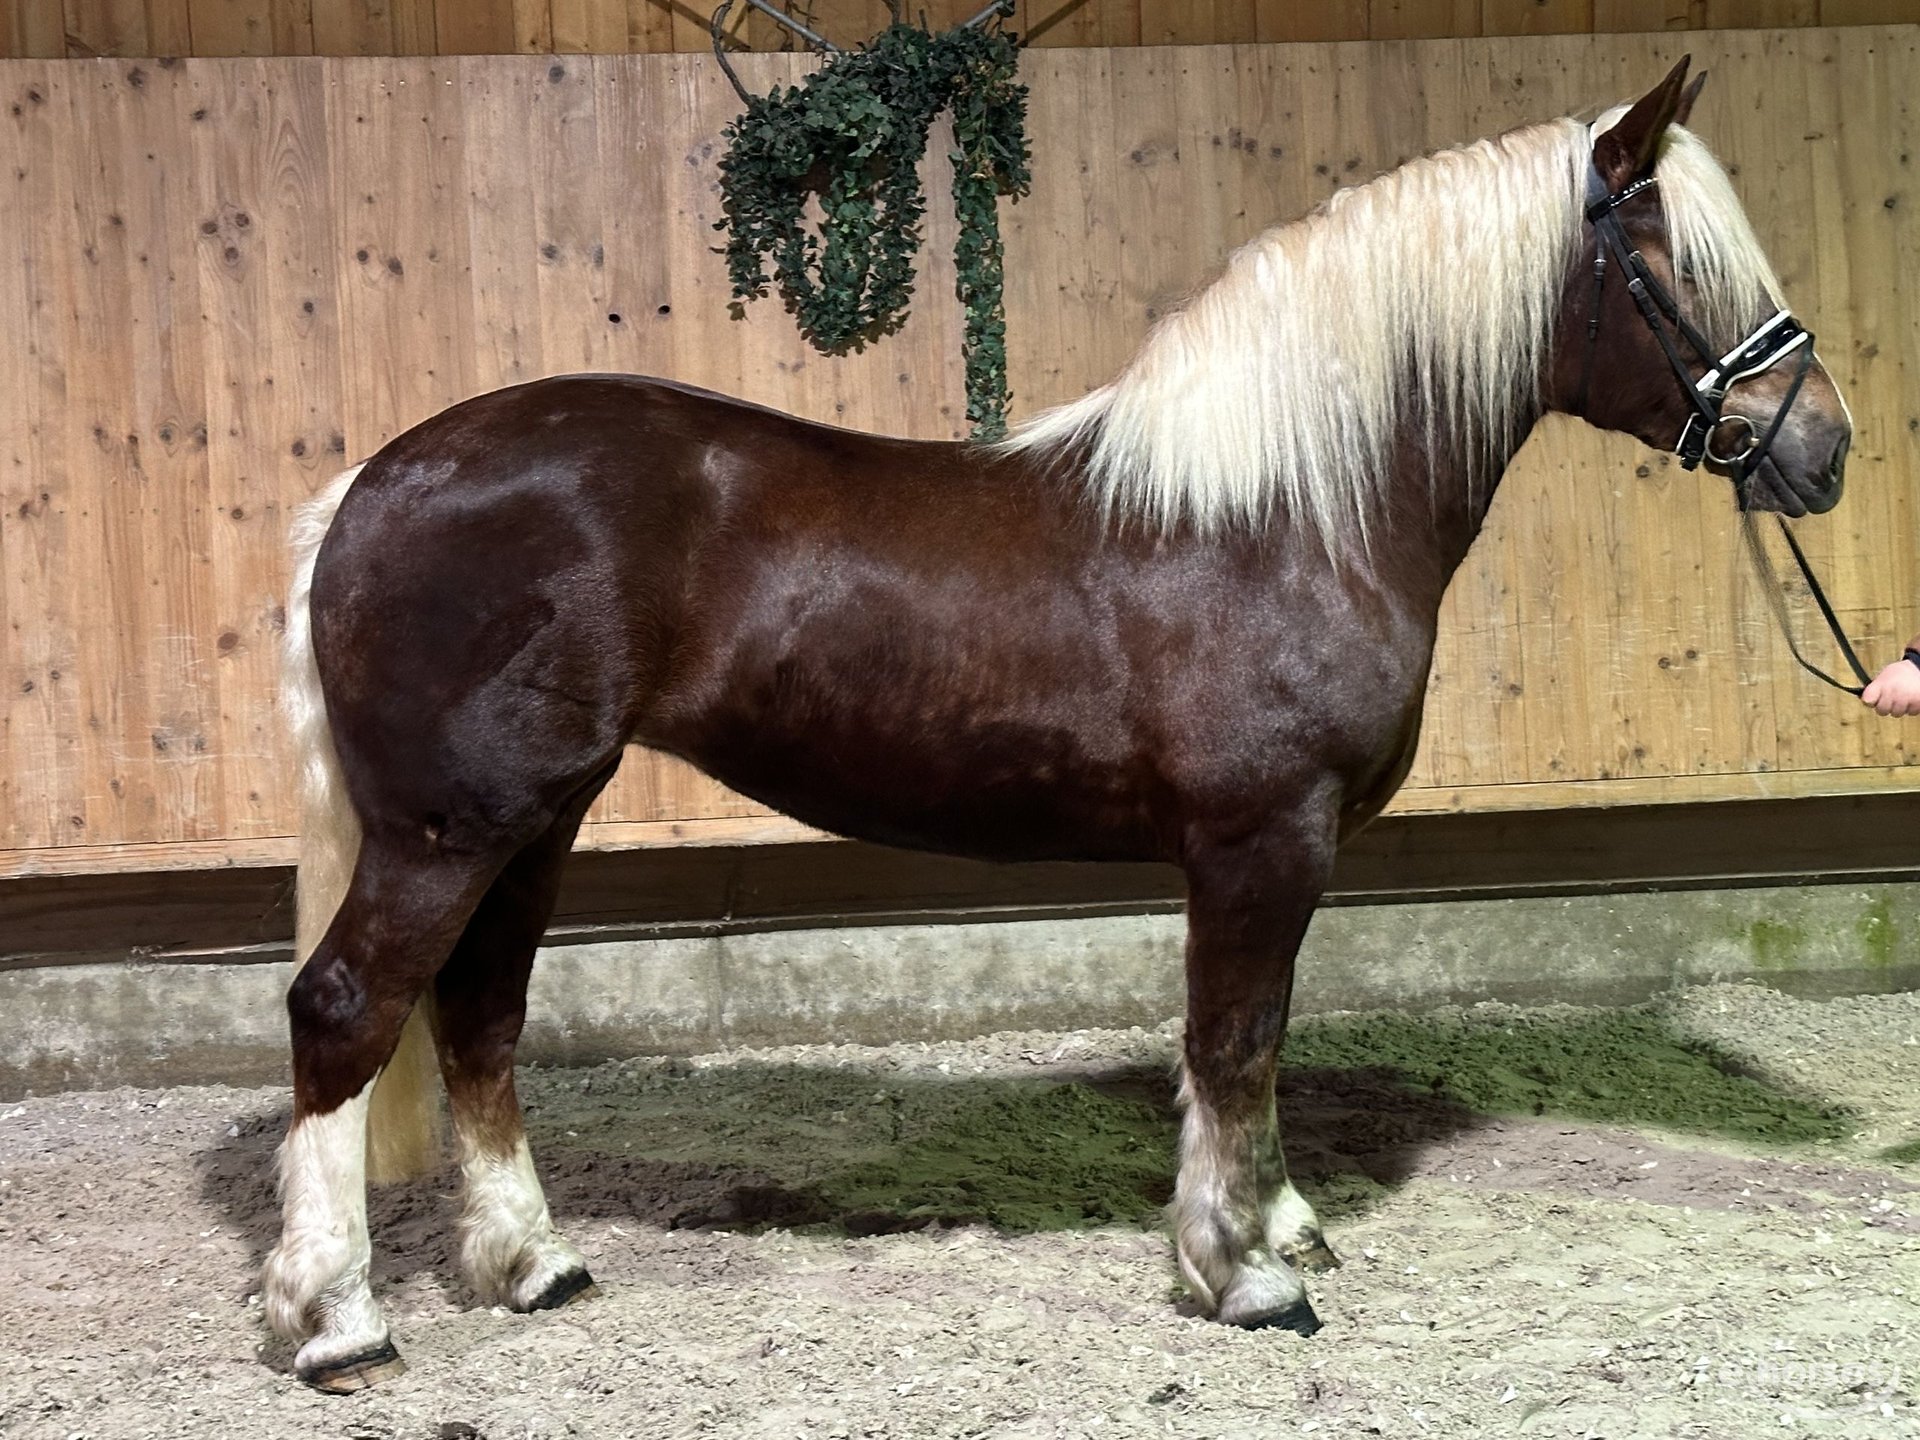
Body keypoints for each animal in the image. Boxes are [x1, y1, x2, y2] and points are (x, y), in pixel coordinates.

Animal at [255, 59, 1843, 1397]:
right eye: (1677, 270)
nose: (1821, 446)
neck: (1291, 512)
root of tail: (377, 482)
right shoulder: (1262, 841)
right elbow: (1234, 1041)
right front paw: (1244, 1274)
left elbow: (1253, 1044)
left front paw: (1282, 1223)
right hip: (449, 828)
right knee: (346, 1012)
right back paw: (336, 1321)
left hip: (538, 818)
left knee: (477, 1017)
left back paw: (534, 1265)